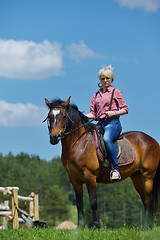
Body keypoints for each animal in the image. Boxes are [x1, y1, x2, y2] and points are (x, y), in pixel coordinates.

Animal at [43, 96, 160, 228]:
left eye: (63, 116)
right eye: (49, 116)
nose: (54, 137)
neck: (79, 144)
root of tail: (152, 140)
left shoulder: (89, 176)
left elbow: (93, 202)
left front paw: (95, 226)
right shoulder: (74, 179)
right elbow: (79, 203)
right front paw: (80, 227)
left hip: (148, 175)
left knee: (149, 200)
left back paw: (147, 226)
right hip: (137, 176)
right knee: (145, 199)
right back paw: (147, 226)